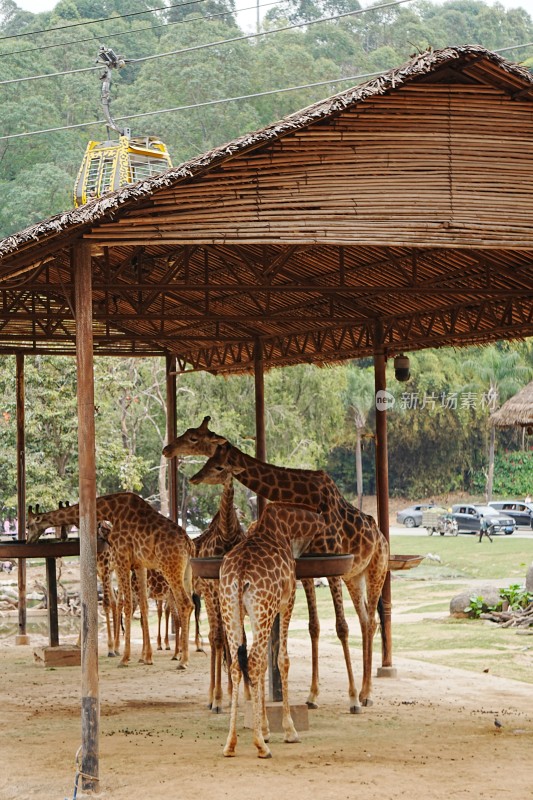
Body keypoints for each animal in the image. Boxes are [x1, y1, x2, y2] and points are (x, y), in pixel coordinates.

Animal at [26, 494, 194, 668]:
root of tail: (189, 544)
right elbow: (144, 607)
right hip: (186, 573)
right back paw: (181, 655)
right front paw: (147, 657)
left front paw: (124, 658)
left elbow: (125, 606)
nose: (28, 541)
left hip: (169, 568)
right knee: (189, 604)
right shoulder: (139, 564)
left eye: (28, 526)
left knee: (185, 604)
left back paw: (183, 660)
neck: (111, 511)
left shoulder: (121, 558)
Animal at [162, 418, 386, 712]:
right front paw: (313, 695)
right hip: (354, 576)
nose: (166, 449)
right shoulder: (309, 569)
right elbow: (314, 627)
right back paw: (362, 690)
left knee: (369, 621)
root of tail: (380, 535)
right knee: (365, 620)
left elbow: (340, 627)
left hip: (376, 569)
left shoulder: (332, 564)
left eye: (194, 438)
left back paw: (366, 694)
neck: (304, 496)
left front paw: (350, 699)